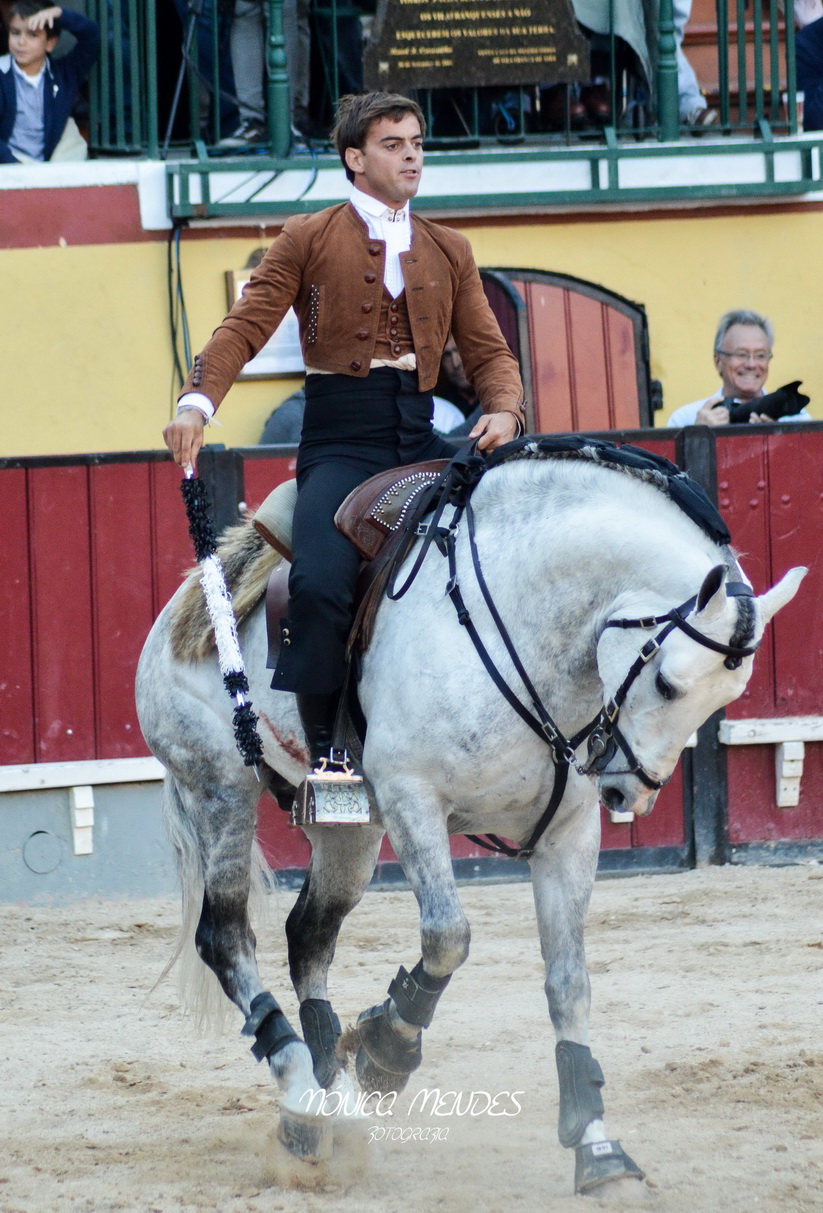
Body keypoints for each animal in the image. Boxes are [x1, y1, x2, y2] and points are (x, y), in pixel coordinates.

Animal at [135, 440, 804, 1196]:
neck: (524, 614)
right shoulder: (412, 799)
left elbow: (568, 981)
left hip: (349, 829)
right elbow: (449, 935)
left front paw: (596, 1143)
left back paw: (328, 1102)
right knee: (225, 936)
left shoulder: (569, 835)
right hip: (218, 790)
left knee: (309, 934)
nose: (629, 794)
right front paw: (388, 1049)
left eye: (731, 693)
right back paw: (304, 1090)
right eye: (666, 681)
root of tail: (190, 600)